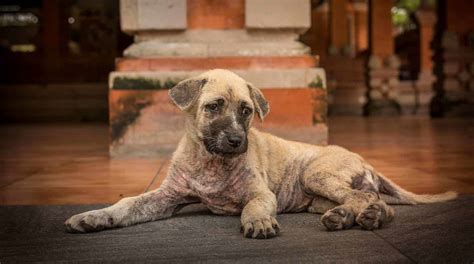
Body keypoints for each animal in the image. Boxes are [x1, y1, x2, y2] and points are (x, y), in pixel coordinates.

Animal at [65, 69, 458, 238]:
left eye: (246, 111)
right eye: (214, 107)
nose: (237, 141)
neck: (210, 161)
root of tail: (365, 160)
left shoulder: (260, 193)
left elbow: (253, 207)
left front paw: (257, 222)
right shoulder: (166, 197)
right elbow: (127, 204)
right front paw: (95, 217)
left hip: (315, 173)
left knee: (372, 200)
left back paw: (370, 217)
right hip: (316, 196)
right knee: (362, 200)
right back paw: (348, 217)